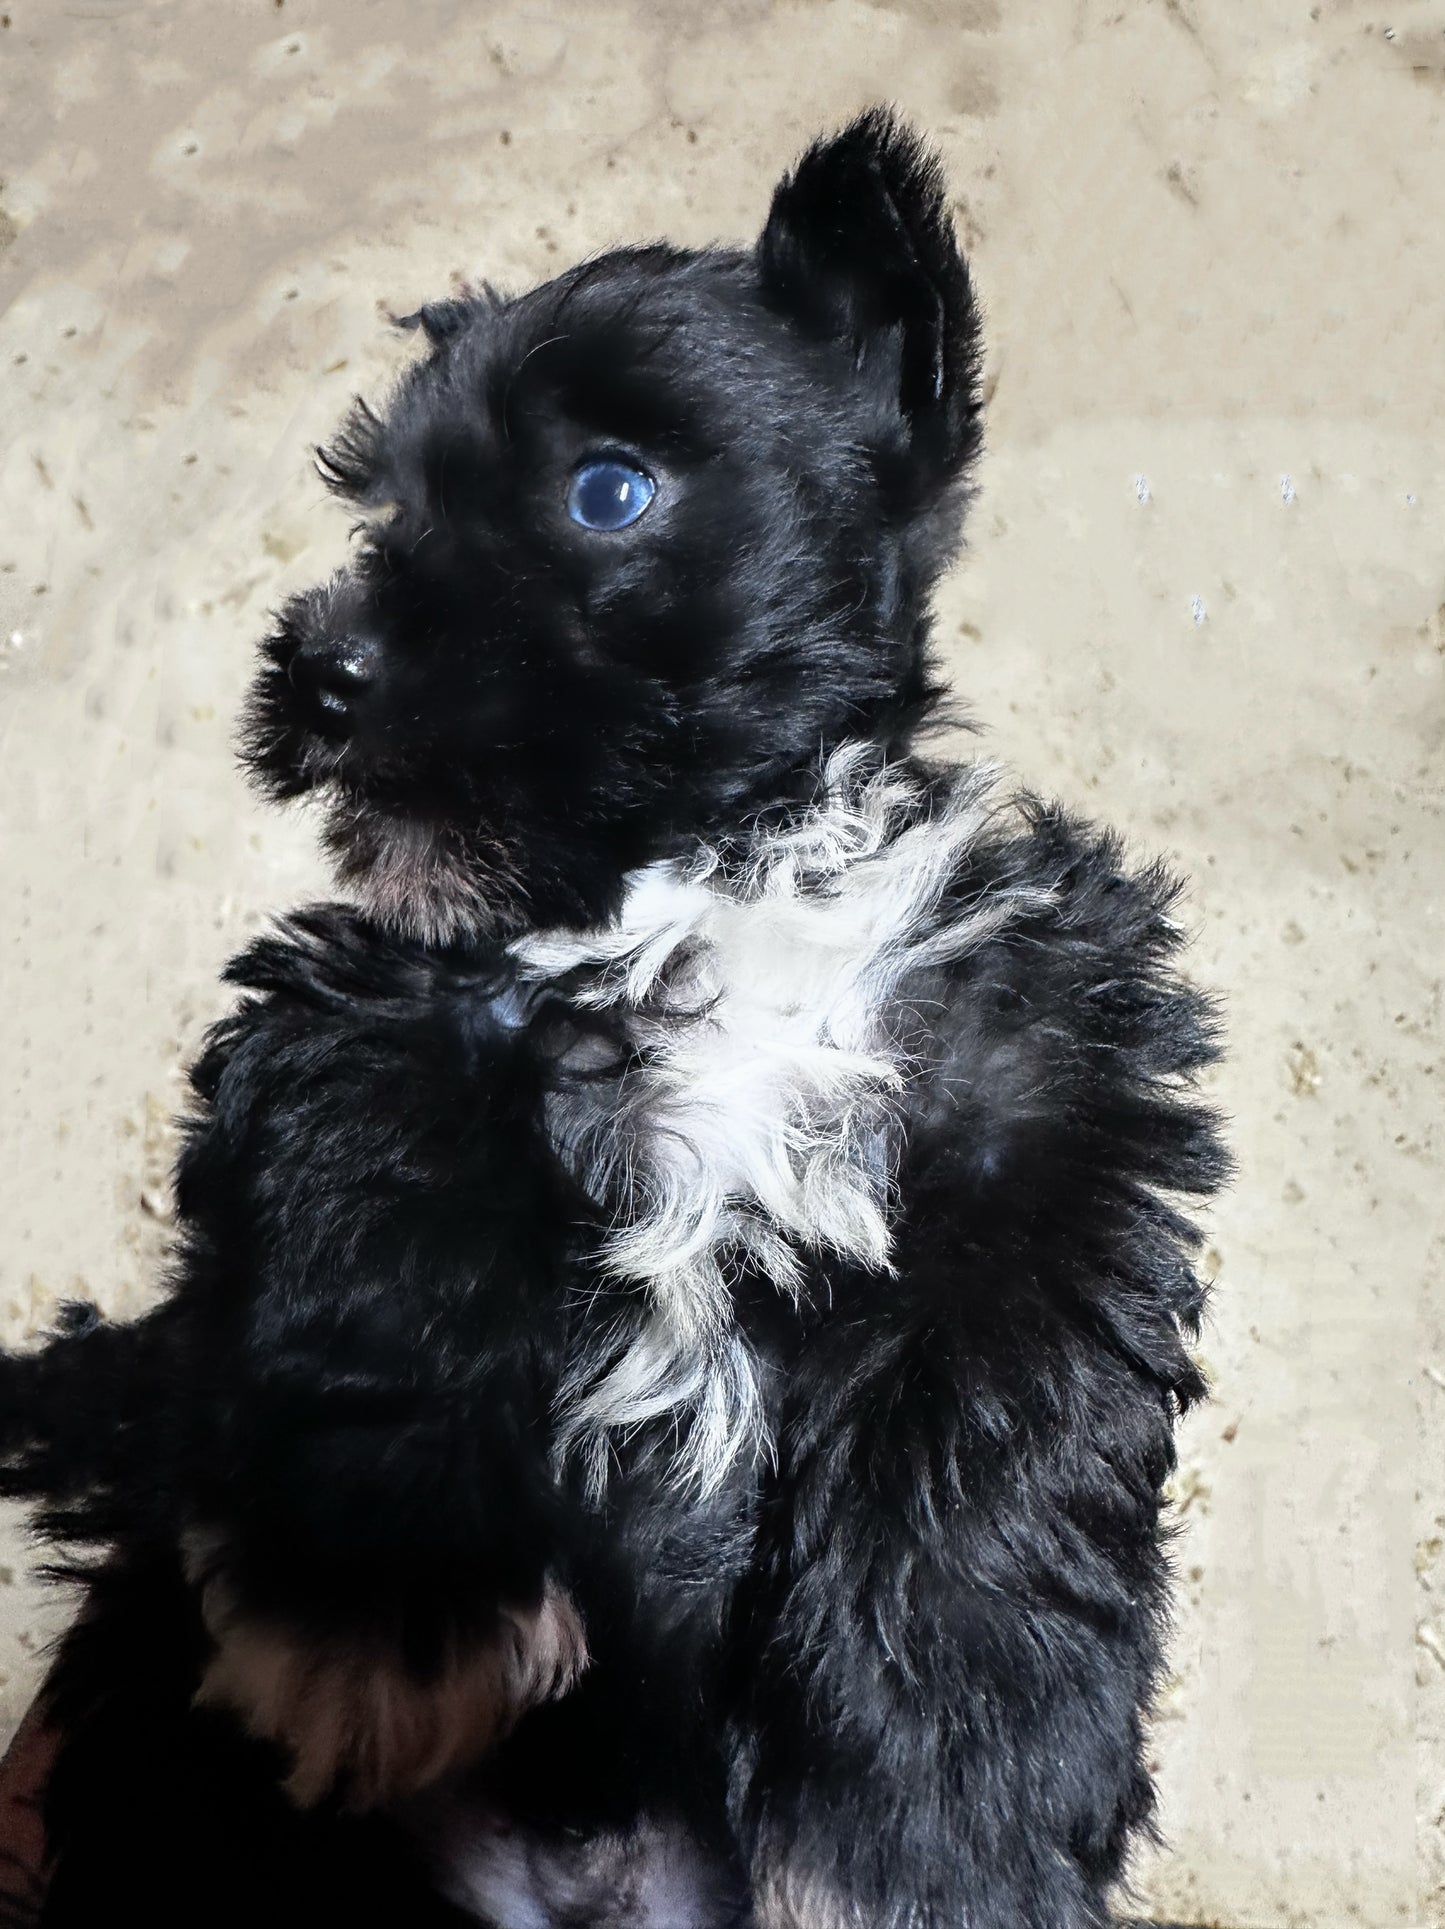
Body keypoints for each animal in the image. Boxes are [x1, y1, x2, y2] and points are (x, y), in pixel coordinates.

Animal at [0, 112, 1226, 1921]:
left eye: (609, 490)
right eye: (387, 499)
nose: (322, 674)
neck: (704, 877)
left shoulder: (1033, 1149)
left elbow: (976, 1500)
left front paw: (932, 1843)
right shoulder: (361, 1022)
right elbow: (379, 1267)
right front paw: (388, 1620)